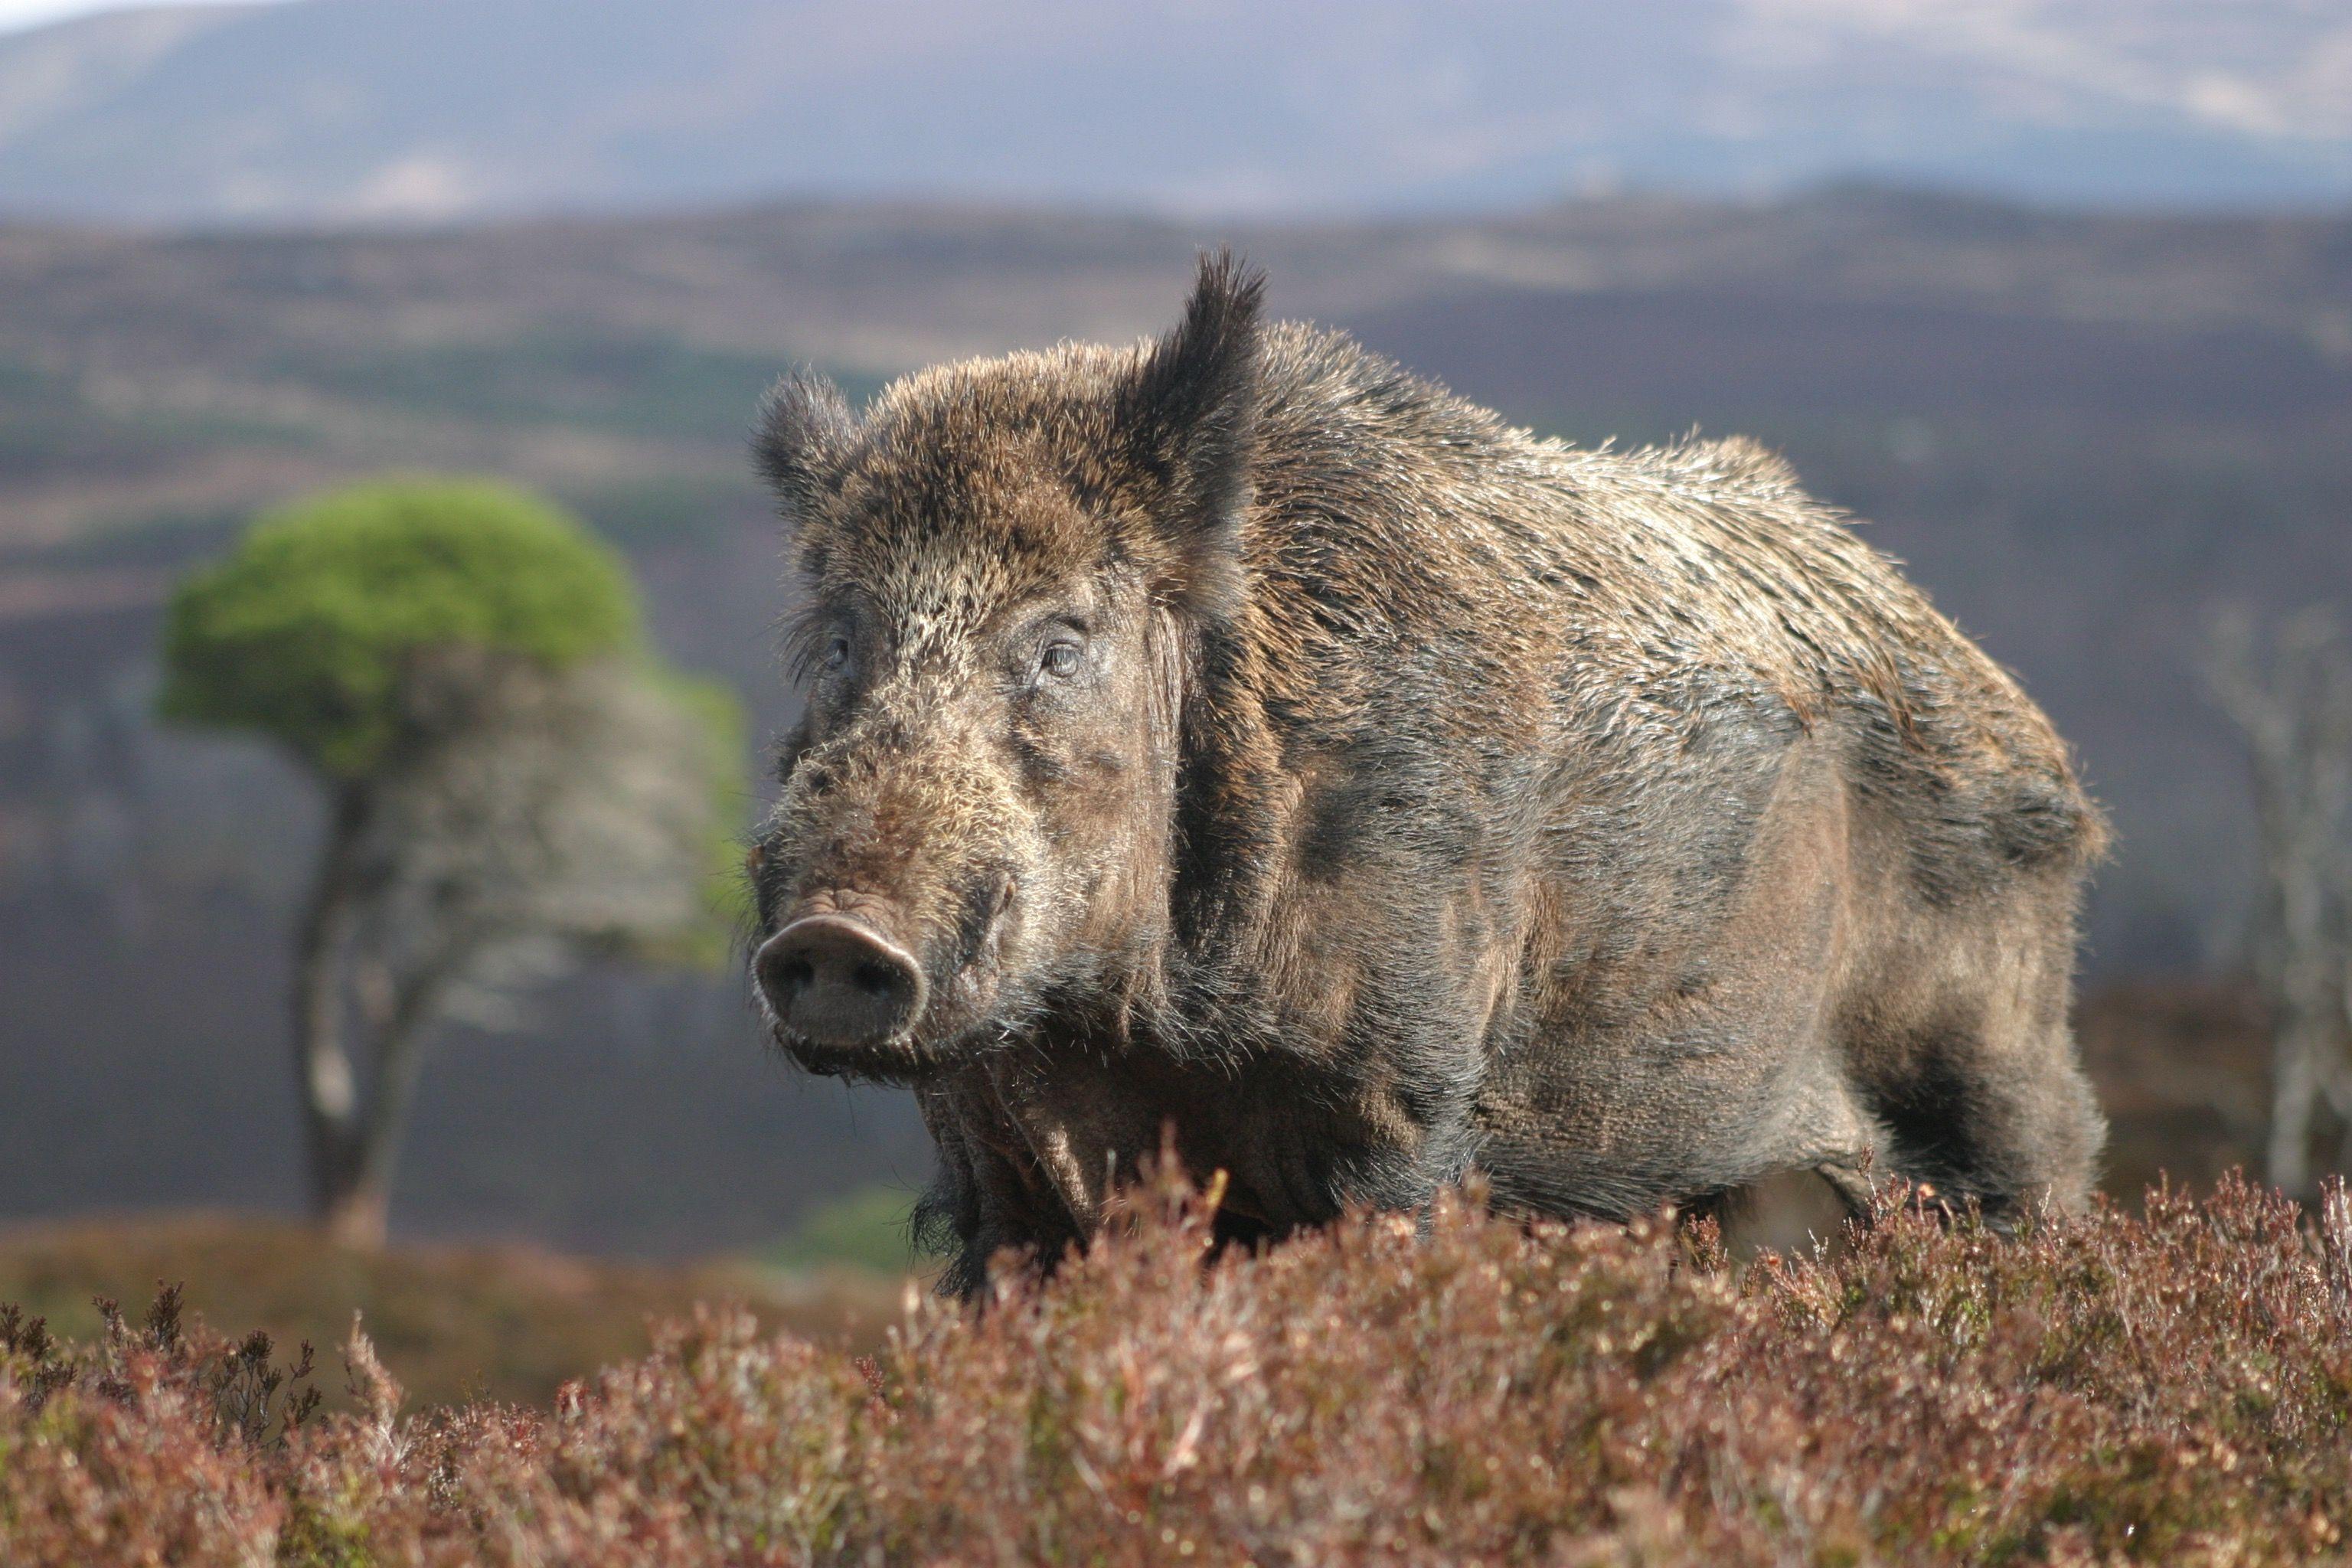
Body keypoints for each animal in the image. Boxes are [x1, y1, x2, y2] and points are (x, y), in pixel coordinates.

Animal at [747, 253, 2106, 1293]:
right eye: (845, 639)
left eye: (1060, 642)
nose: (834, 932)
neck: (1132, 1045)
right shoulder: (995, 1163)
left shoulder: (1404, 1097)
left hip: (1997, 1071)